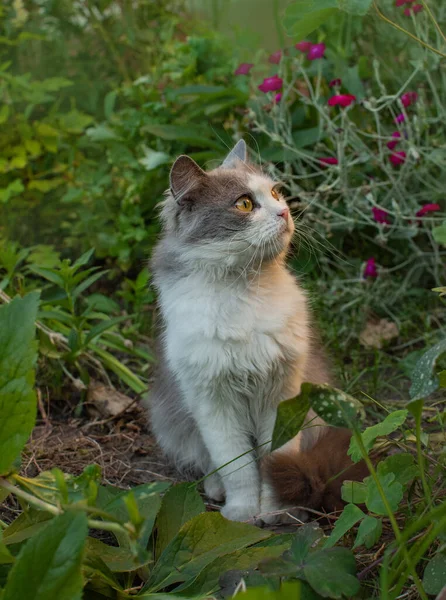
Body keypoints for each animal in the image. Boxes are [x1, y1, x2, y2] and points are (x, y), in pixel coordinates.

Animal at [150, 141, 334, 520]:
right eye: (245, 204)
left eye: (276, 193)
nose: (284, 213)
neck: (243, 289)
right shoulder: (212, 401)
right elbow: (238, 467)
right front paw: (243, 511)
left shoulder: (282, 394)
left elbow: (276, 458)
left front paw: (277, 510)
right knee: (210, 464)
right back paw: (216, 490)